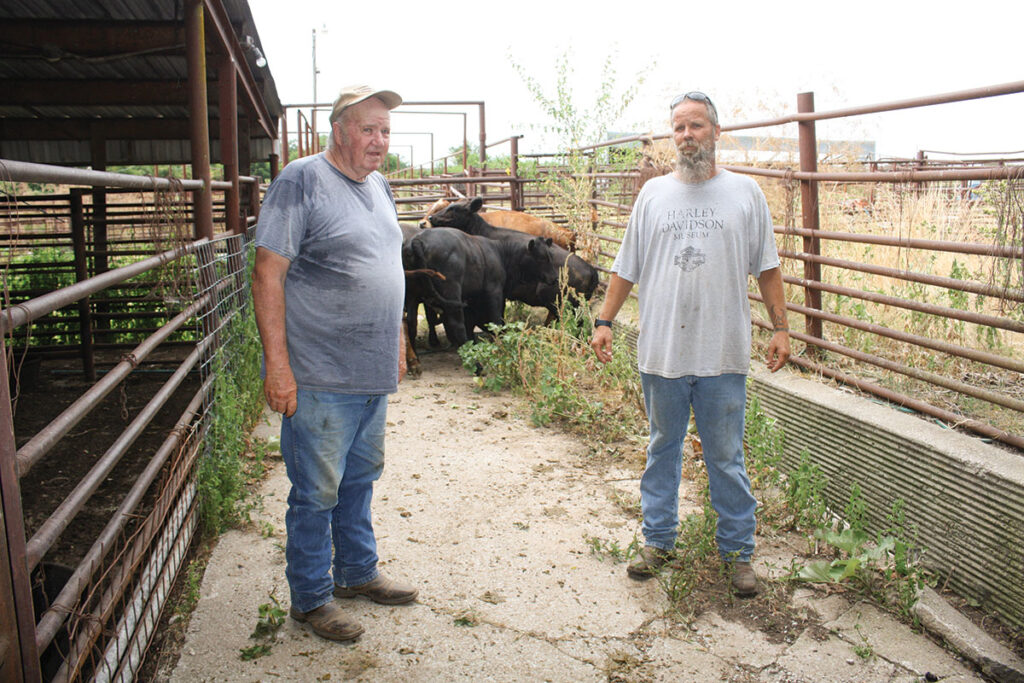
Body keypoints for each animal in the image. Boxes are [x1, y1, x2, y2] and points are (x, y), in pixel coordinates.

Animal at [403, 228, 561, 348]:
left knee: (411, 321)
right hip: (451, 292)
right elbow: (496, 320)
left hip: (411, 294)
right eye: (542, 258)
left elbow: (472, 322)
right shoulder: (494, 291)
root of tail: (418, 240)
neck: (501, 253)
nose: (555, 278)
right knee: (456, 325)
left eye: (550, 256)